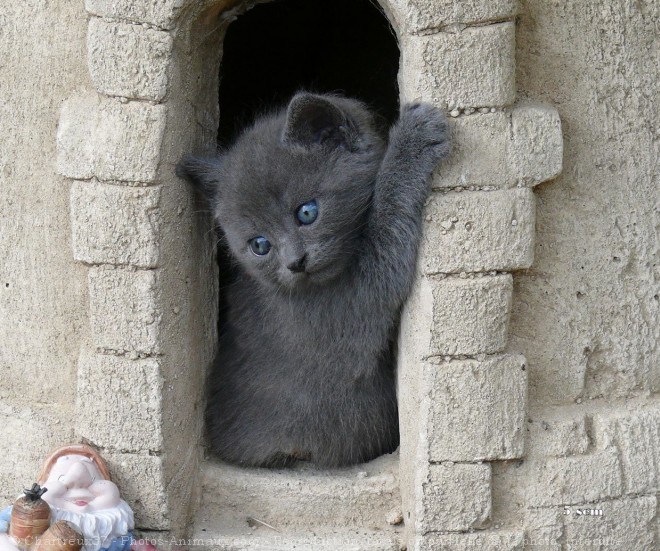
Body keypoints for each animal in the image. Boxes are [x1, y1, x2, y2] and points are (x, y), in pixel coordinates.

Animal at [177, 92, 448, 468]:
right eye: (259, 245)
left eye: (307, 212)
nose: (295, 263)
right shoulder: (350, 309)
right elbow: (390, 234)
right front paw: (412, 142)